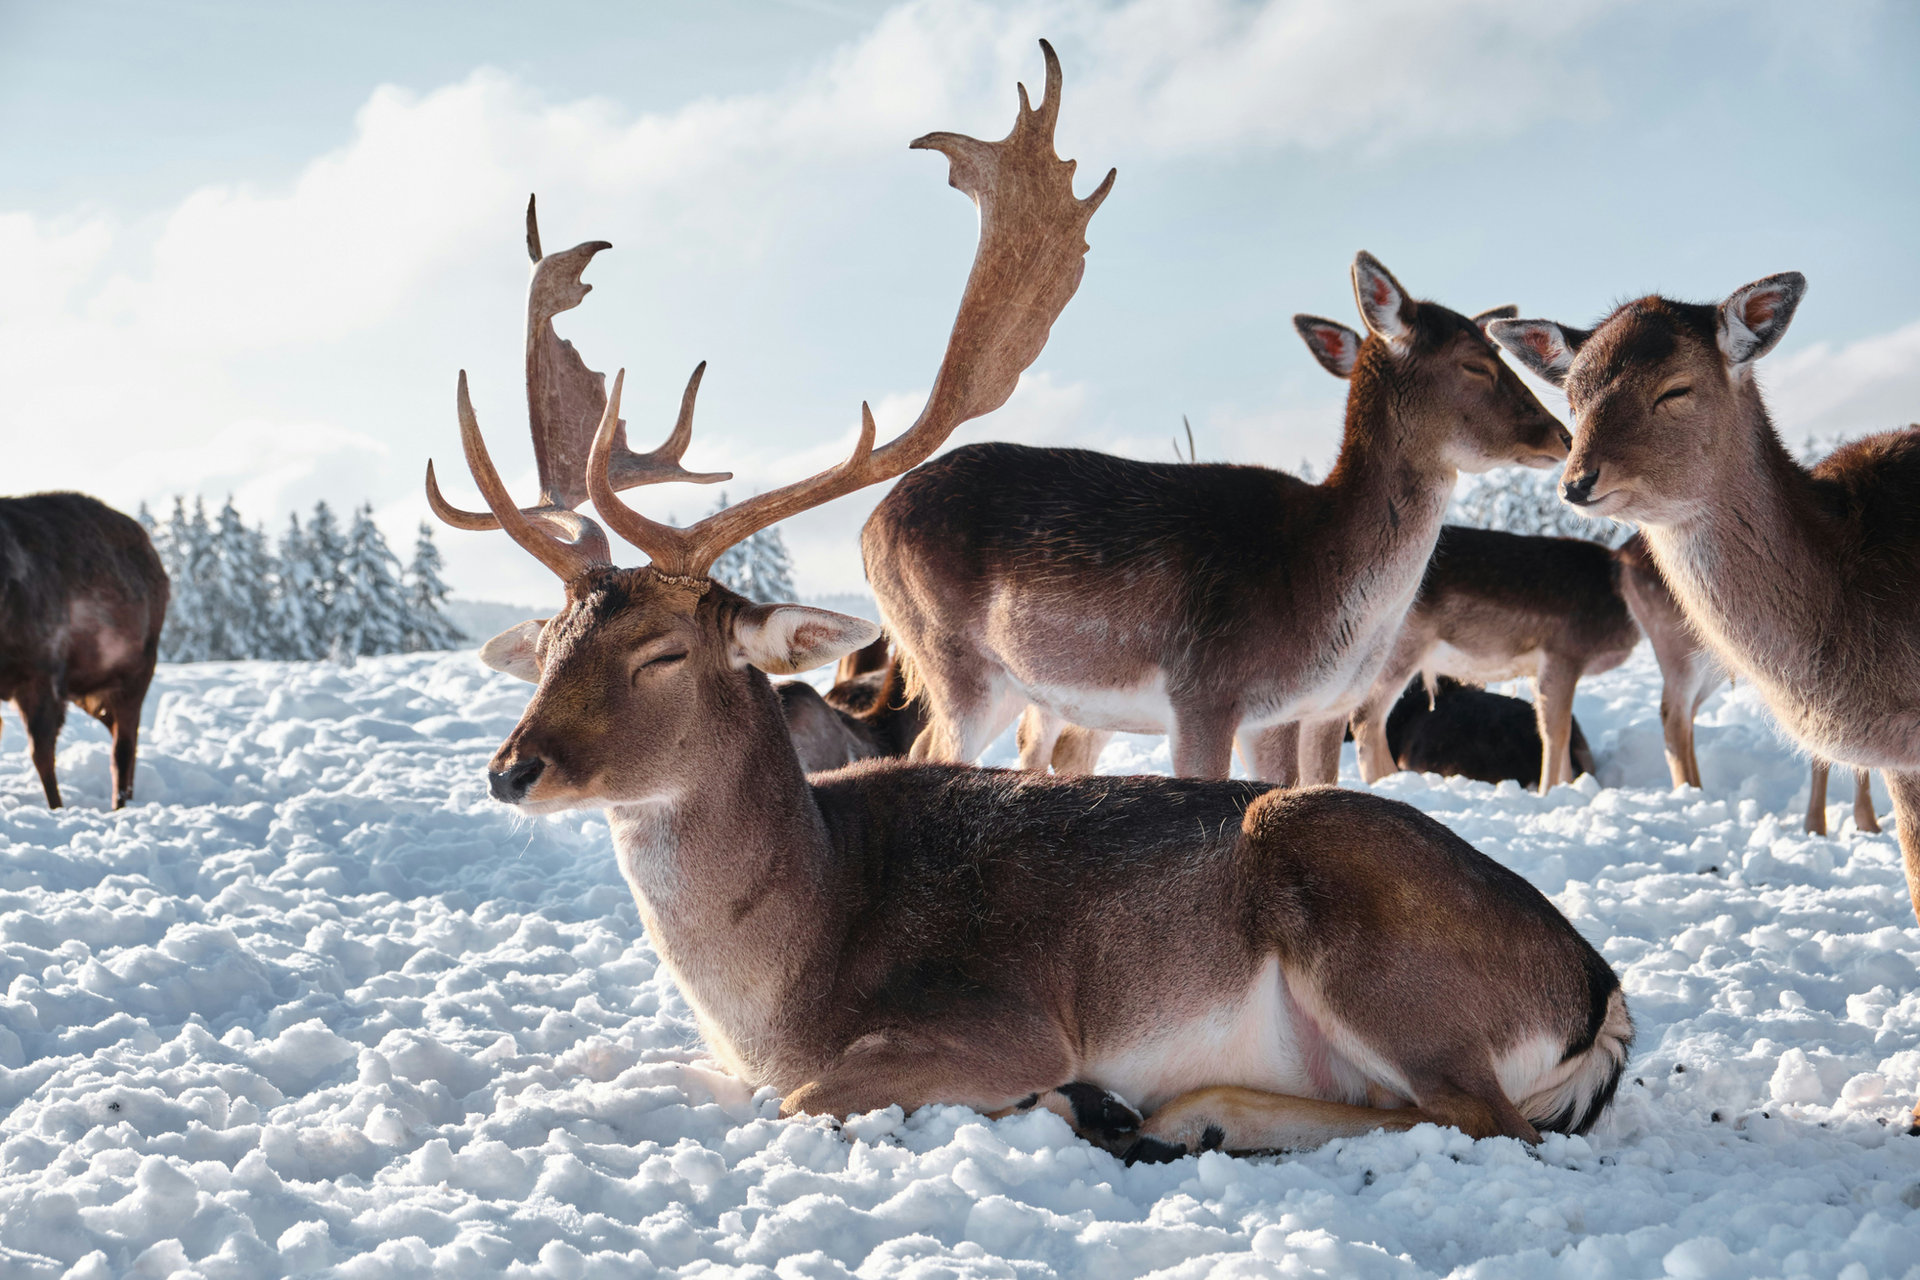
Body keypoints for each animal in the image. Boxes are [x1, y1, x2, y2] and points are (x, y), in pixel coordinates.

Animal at [0, 493, 169, 809]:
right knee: (122, 735)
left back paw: (120, 804)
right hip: (89, 691)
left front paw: (57, 807)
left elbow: (42, 752)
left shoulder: (42, 672)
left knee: (123, 746)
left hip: (139, 669)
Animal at [863, 259, 1570, 789]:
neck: (1319, 576)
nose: (1561, 435)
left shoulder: (1294, 711)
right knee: (934, 750)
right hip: (951, 656)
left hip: (1015, 683)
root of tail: (870, 527)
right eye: (1476, 363)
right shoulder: (1205, 690)